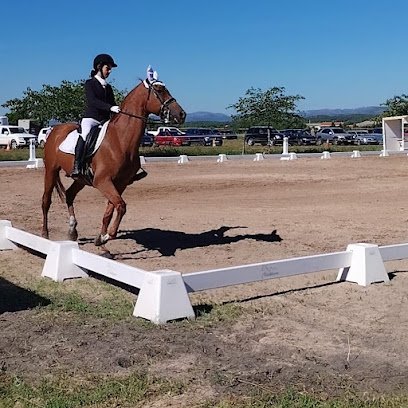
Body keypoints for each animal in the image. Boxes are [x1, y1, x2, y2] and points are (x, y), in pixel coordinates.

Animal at [41, 67, 185, 245]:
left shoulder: (119, 183)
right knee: (46, 201)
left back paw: (72, 231)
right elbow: (121, 206)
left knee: (69, 195)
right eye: (159, 90)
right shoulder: (103, 181)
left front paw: (101, 237)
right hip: (51, 170)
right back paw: (45, 235)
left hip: (80, 178)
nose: (182, 114)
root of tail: (55, 130)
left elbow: (111, 209)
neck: (120, 139)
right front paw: (108, 235)